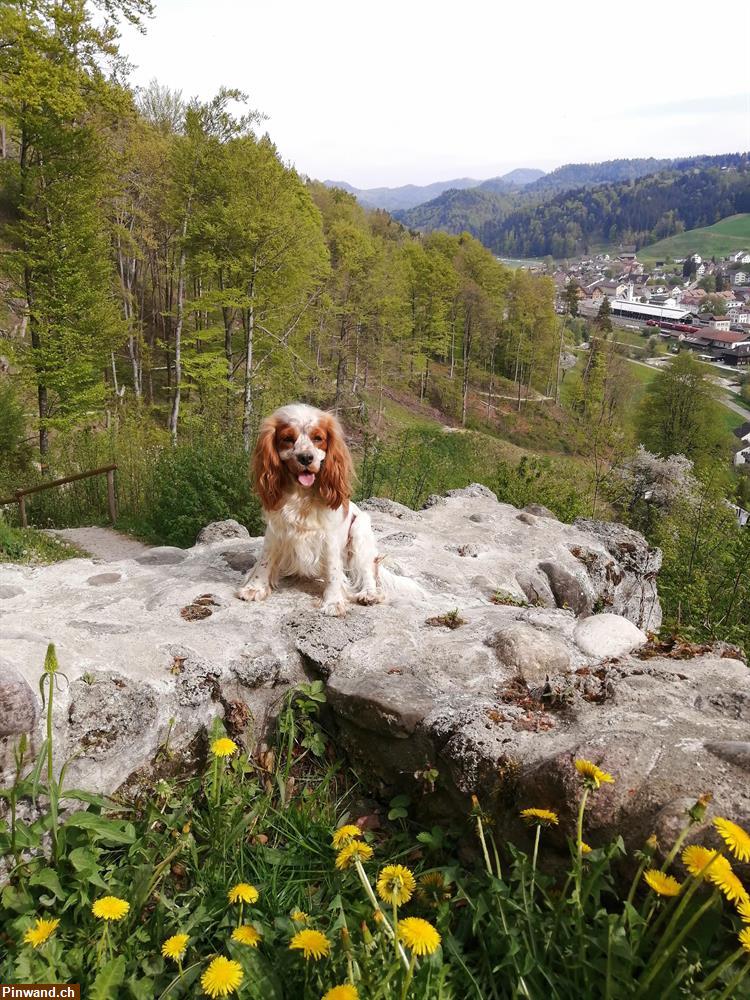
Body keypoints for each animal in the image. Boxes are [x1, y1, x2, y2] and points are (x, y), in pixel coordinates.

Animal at [238, 402, 420, 612]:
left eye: (318, 438)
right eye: (287, 439)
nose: (306, 457)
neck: (301, 495)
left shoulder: (329, 536)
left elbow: (333, 570)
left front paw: (333, 601)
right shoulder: (275, 529)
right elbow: (265, 560)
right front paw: (254, 587)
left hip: (359, 533)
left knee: (368, 572)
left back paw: (368, 594)